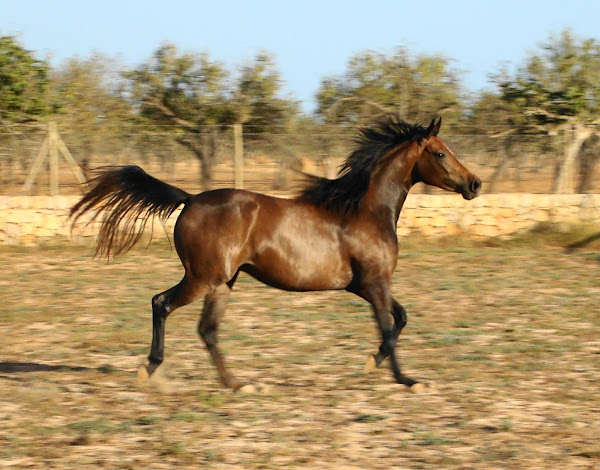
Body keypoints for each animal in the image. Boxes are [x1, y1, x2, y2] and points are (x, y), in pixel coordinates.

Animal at [70, 116, 482, 390]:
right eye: (440, 154)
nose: (474, 184)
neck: (364, 211)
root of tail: (190, 198)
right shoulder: (375, 284)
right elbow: (388, 326)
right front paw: (404, 378)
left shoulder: (366, 286)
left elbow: (401, 318)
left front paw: (375, 363)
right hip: (203, 277)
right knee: (162, 303)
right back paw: (151, 368)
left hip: (223, 283)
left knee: (208, 330)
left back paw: (237, 384)